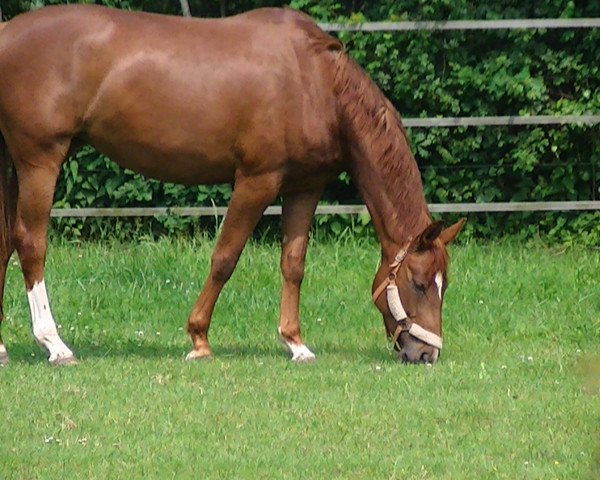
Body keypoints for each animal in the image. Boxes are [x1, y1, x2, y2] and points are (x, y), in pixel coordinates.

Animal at [0, 3, 466, 366]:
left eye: (444, 286)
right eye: (419, 283)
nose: (427, 354)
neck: (315, 82)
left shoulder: (304, 187)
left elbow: (293, 264)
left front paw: (296, 344)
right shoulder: (257, 181)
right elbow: (225, 258)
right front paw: (199, 338)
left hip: (11, 166)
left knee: (5, 243)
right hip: (40, 161)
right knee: (31, 243)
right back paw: (55, 345)